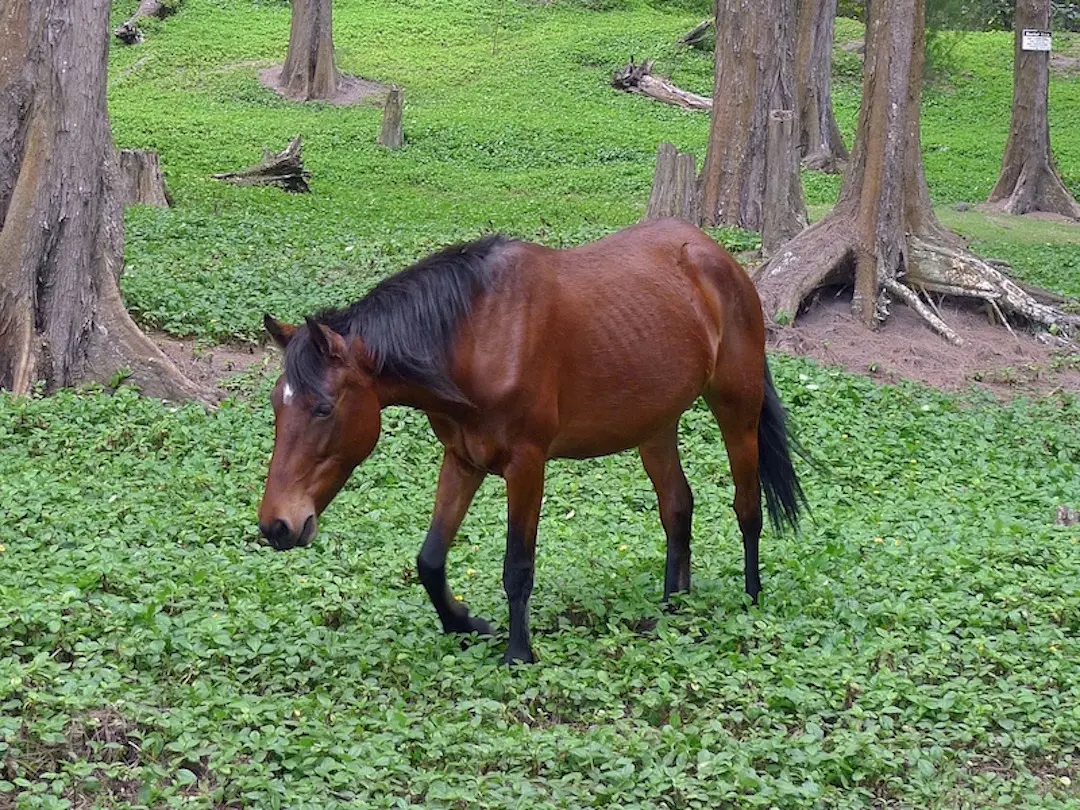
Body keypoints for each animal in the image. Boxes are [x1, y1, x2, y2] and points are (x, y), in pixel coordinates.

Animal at [259, 217, 803, 665]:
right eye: (276, 405)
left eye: (323, 408)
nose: (276, 526)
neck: (478, 335)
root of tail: (717, 257)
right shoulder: (462, 459)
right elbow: (430, 560)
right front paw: (466, 624)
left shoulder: (526, 465)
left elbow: (517, 565)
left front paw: (518, 653)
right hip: (656, 426)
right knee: (677, 507)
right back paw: (673, 606)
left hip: (737, 410)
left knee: (747, 507)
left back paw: (750, 598)